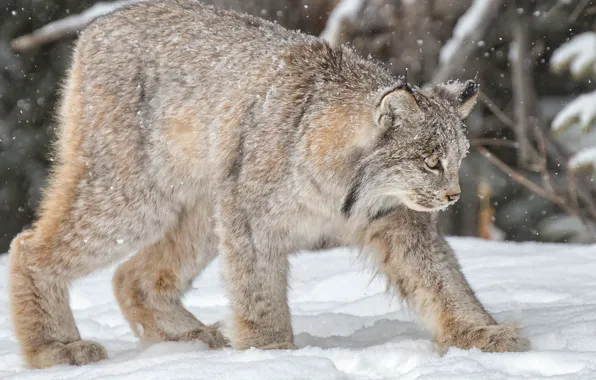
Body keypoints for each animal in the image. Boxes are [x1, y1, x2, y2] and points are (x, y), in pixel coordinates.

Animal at [9, 0, 528, 370]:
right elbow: (258, 292)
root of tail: (101, 24)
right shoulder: (251, 219)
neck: (345, 193)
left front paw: (481, 336)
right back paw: (55, 348)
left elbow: (444, 281)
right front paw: (269, 355)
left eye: (458, 160)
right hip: (135, 195)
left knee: (129, 275)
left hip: (204, 204)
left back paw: (190, 339)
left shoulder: (398, 219)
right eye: (430, 162)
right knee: (27, 243)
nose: (453, 196)